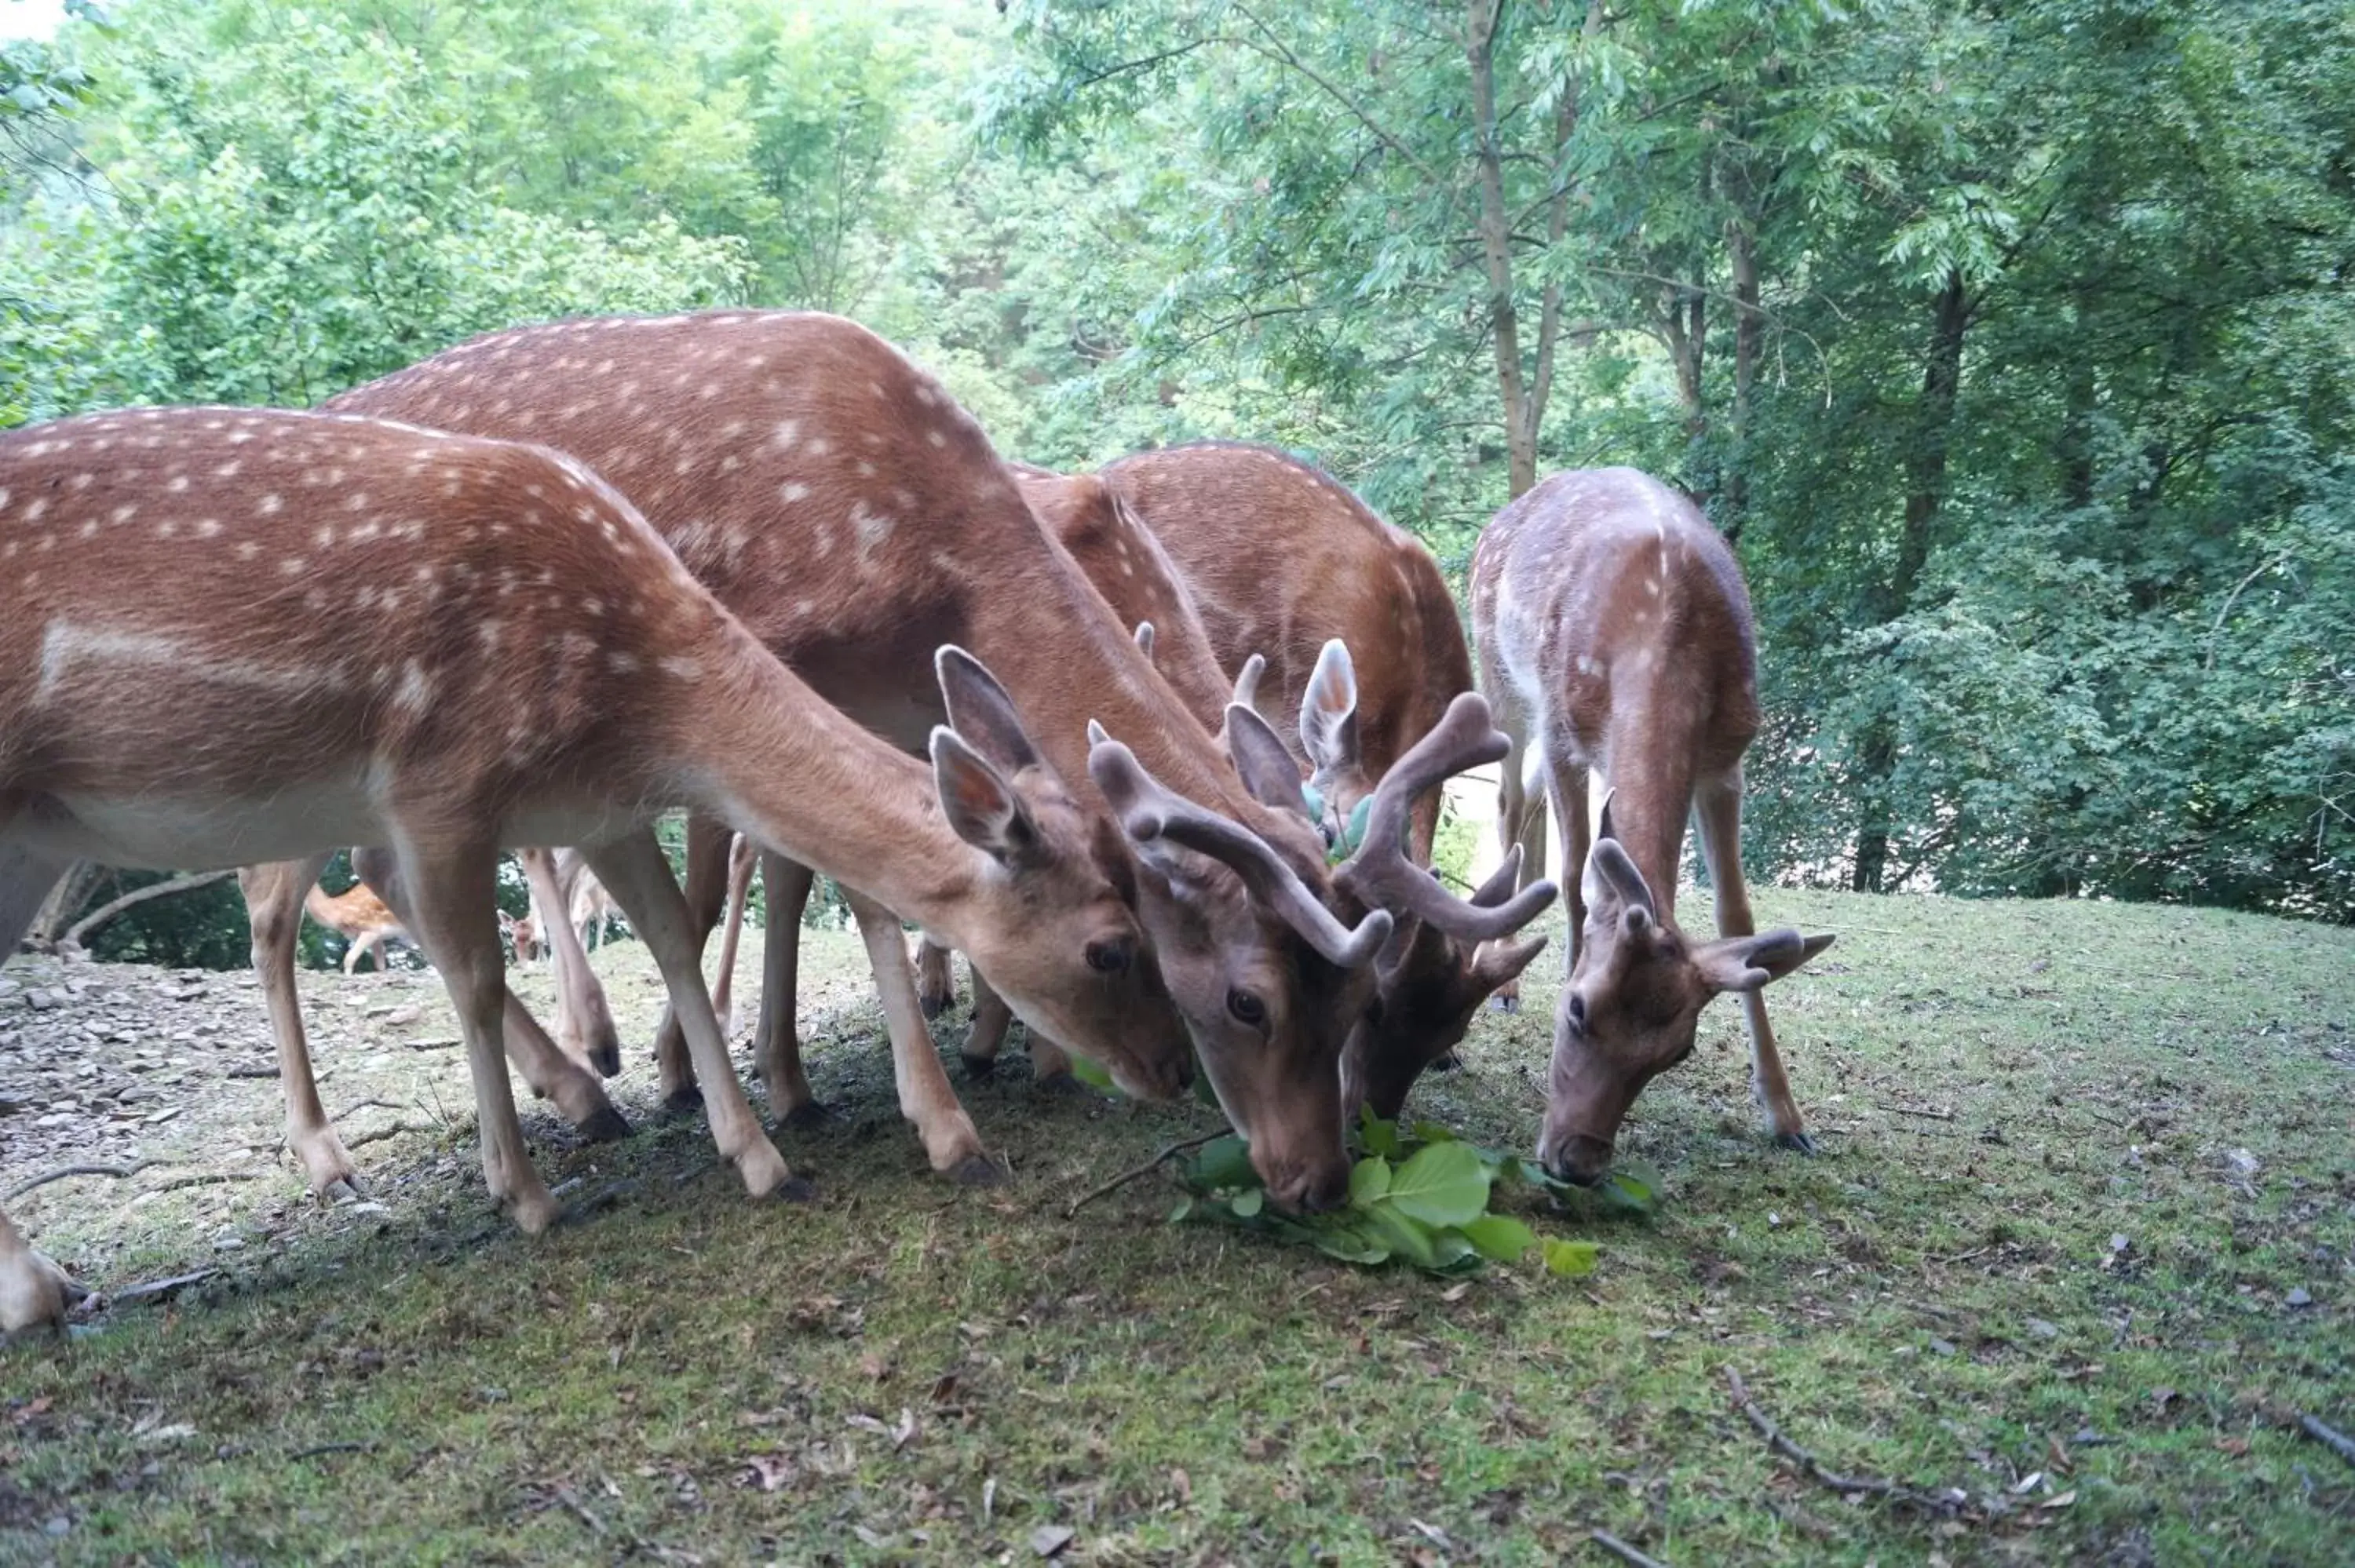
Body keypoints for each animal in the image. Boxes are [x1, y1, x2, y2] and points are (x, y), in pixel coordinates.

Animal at [0, 405, 1178, 1328]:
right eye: (1112, 946)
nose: (1169, 1072)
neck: (634, 691)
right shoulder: (440, 783)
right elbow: (475, 979)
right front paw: (526, 1193)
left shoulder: (598, 805)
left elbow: (672, 937)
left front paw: (759, 1156)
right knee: (271, 917)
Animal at [1470, 471, 1837, 1177]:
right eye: (1577, 1010)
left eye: (1679, 1051)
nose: (1577, 1162)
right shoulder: (1563, 731)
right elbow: (1576, 878)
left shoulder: (1727, 761)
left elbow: (1736, 916)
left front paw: (1787, 1117)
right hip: (1500, 674)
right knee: (1506, 798)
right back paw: (1501, 973)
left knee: (1524, 799)